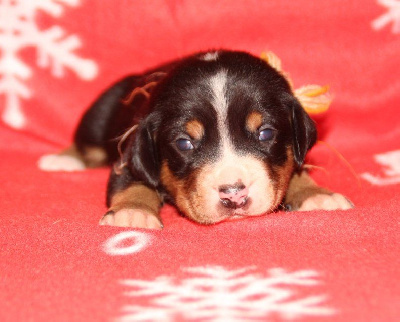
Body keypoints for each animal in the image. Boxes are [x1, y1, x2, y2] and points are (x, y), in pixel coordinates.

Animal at [39, 50, 354, 229]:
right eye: (184, 143)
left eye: (265, 133)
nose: (234, 194)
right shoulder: (129, 156)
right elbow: (132, 183)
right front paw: (132, 213)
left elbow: (297, 170)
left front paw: (316, 195)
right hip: (98, 117)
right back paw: (62, 159)